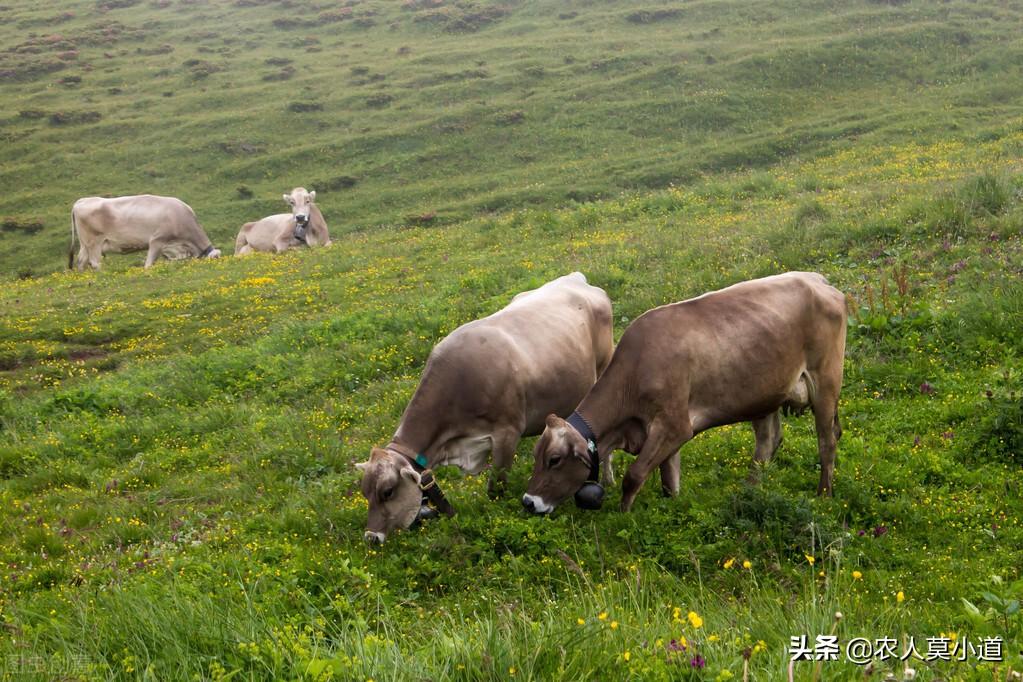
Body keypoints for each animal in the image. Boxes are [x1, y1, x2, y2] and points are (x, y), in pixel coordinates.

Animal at [69, 194, 220, 269]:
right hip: (94, 242)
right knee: (95, 263)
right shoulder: (157, 240)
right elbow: (149, 264)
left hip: (85, 244)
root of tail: (82, 201)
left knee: (81, 261)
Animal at [356, 271, 609, 543]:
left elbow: (496, 488)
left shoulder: (507, 434)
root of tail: (575, 277)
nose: (371, 537)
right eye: (364, 491)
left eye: (388, 491)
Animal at [519, 269, 847, 515]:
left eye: (554, 459)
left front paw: (623, 516)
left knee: (826, 441)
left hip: (826, 381)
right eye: (535, 455)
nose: (528, 502)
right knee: (768, 443)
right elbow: (668, 478)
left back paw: (824, 495)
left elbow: (633, 476)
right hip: (764, 394)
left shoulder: (674, 424)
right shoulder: (665, 432)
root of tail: (818, 280)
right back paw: (750, 491)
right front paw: (672, 507)